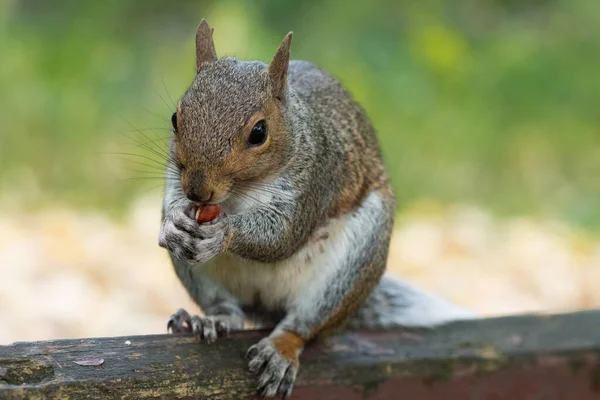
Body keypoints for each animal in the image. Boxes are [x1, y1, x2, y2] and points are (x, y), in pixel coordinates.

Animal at [158, 19, 474, 400]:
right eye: (175, 118)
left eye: (259, 132)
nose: (198, 191)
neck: (239, 194)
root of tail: (267, 306)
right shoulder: (175, 177)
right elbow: (172, 202)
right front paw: (173, 223)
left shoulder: (315, 178)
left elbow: (282, 236)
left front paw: (225, 232)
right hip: (202, 279)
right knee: (228, 310)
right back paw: (208, 319)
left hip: (349, 269)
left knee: (303, 326)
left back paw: (280, 350)